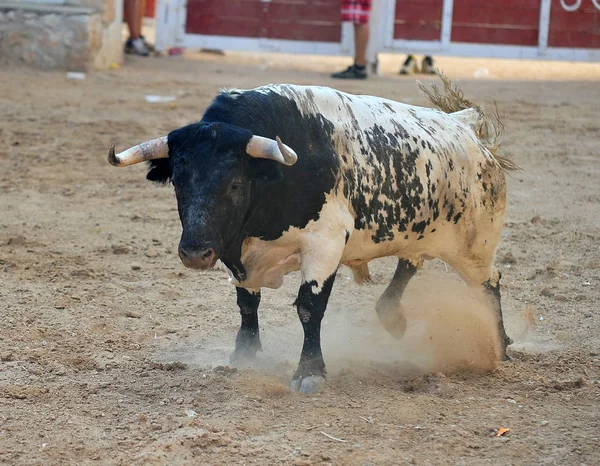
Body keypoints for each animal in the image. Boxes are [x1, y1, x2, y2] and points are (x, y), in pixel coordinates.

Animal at [109, 73, 520, 394]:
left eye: (235, 184)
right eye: (178, 181)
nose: (195, 253)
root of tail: (465, 125)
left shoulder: (324, 246)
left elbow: (309, 308)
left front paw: (309, 372)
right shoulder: (236, 254)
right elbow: (247, 305)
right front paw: (244, 355)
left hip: (474, 247)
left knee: (490, 282)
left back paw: (498, 344)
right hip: (418, 234)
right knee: (411, 263)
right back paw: (393, 317)